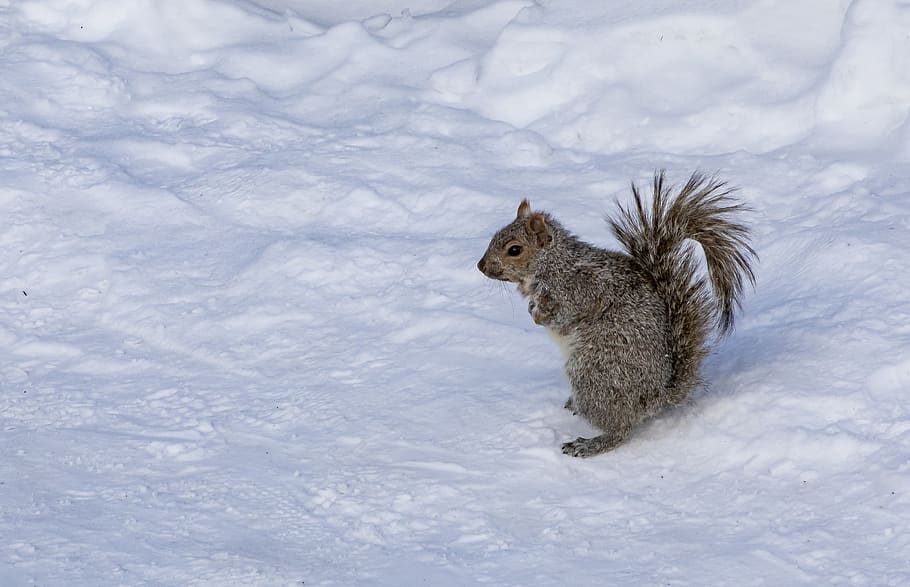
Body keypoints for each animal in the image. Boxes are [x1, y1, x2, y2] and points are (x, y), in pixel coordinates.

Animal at [477, 171, 756, 457]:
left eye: (514, 249)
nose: (480, 266)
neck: (553, 265)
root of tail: (657, 396)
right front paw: (532, 309)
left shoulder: (582, 290)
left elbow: (565, 315)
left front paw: (540, 314)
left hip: (595, 374)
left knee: (620, 431)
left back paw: (591, 444)